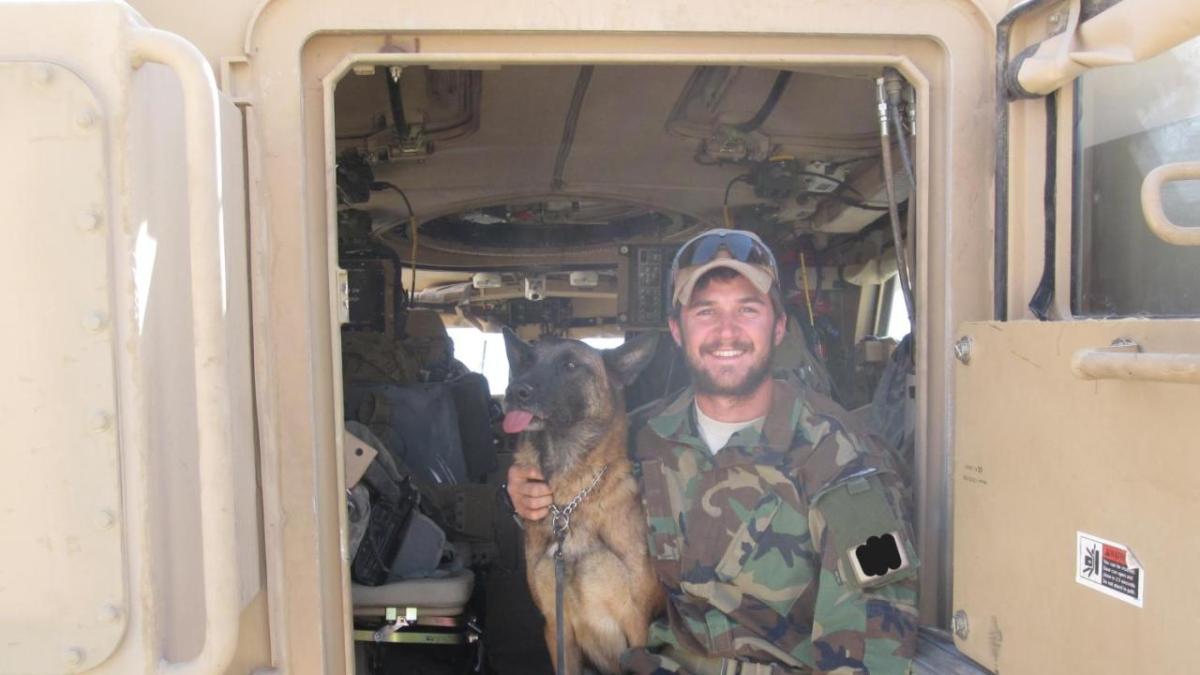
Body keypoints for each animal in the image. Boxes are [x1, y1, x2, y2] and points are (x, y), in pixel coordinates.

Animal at [499, 329, 667, 667]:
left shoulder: (637, 627)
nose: (514, 391)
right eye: (526, 362)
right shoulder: (556, 628)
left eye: (571, 365)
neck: (568, 501)